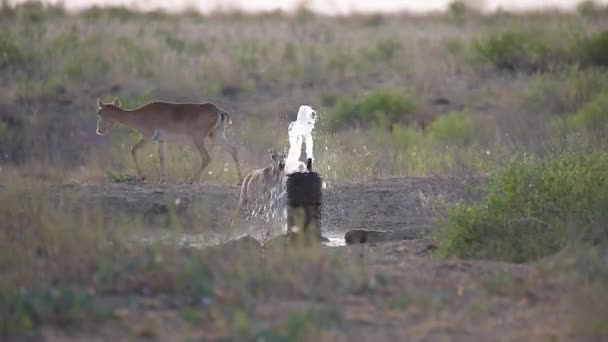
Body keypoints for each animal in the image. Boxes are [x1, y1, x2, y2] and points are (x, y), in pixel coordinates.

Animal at [96, 97, 243, 184]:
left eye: (100, 112)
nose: (99, 130)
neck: (139, 115)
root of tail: (219, 111)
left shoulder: (147, 137)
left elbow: (133, 150)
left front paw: (143, 177)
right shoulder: (161, 141)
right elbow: (162, 157)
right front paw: (163, 179)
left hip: (198, 139)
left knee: (207, 158)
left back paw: (189, 181)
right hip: (216, 136)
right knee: (234, 150)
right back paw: (240, 181)